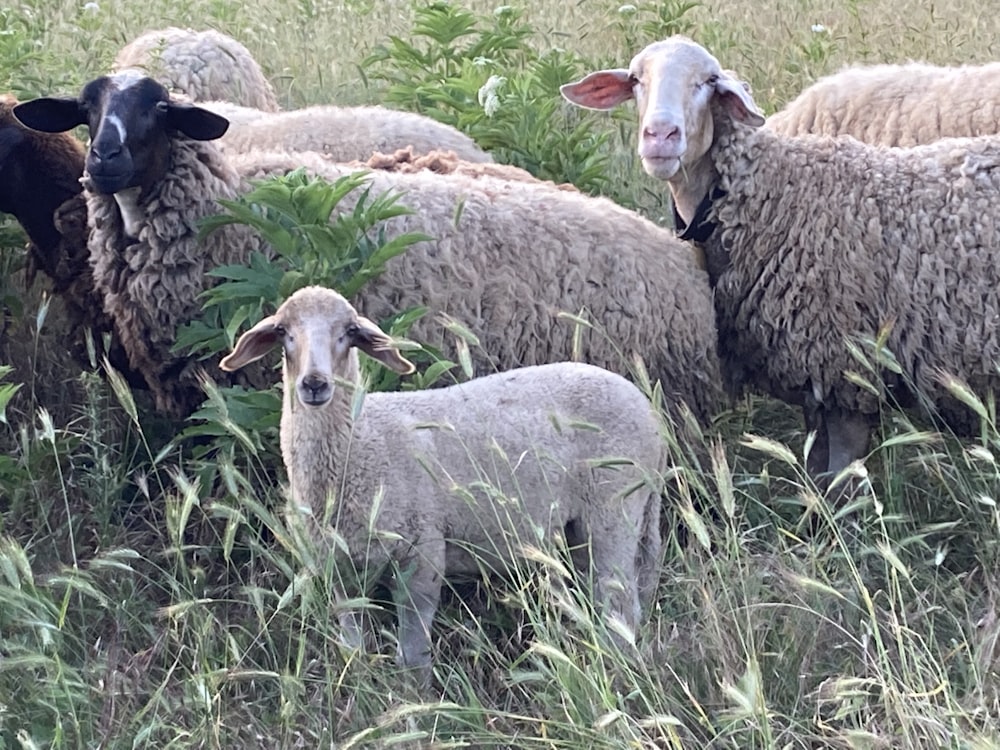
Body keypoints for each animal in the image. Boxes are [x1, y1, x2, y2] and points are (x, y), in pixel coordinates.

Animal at [223, 284, 668, 680]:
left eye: (348, 332)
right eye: (284, 331)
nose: (315, 384)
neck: (362, 441)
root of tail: (647, 410)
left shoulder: (422, 553)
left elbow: (412, 655)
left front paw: (415, 702)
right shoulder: (336, 566)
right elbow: (354, 647)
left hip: (614, 511)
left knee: (620, 609)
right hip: (595, 525)